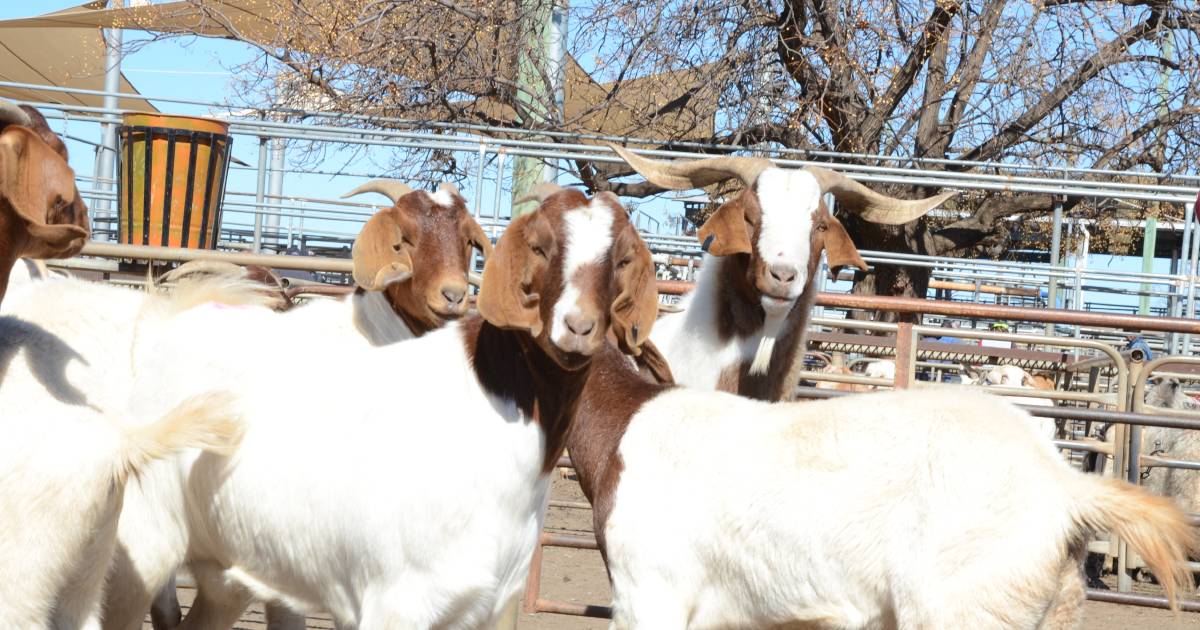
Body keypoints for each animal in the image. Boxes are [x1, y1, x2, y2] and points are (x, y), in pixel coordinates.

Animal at [100, 187, 667, 628]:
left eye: (622, 258)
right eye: (540, 246)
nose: (578, 326)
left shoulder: (484, 605)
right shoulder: (395, 601)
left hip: (227, 567)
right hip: (138, 546)